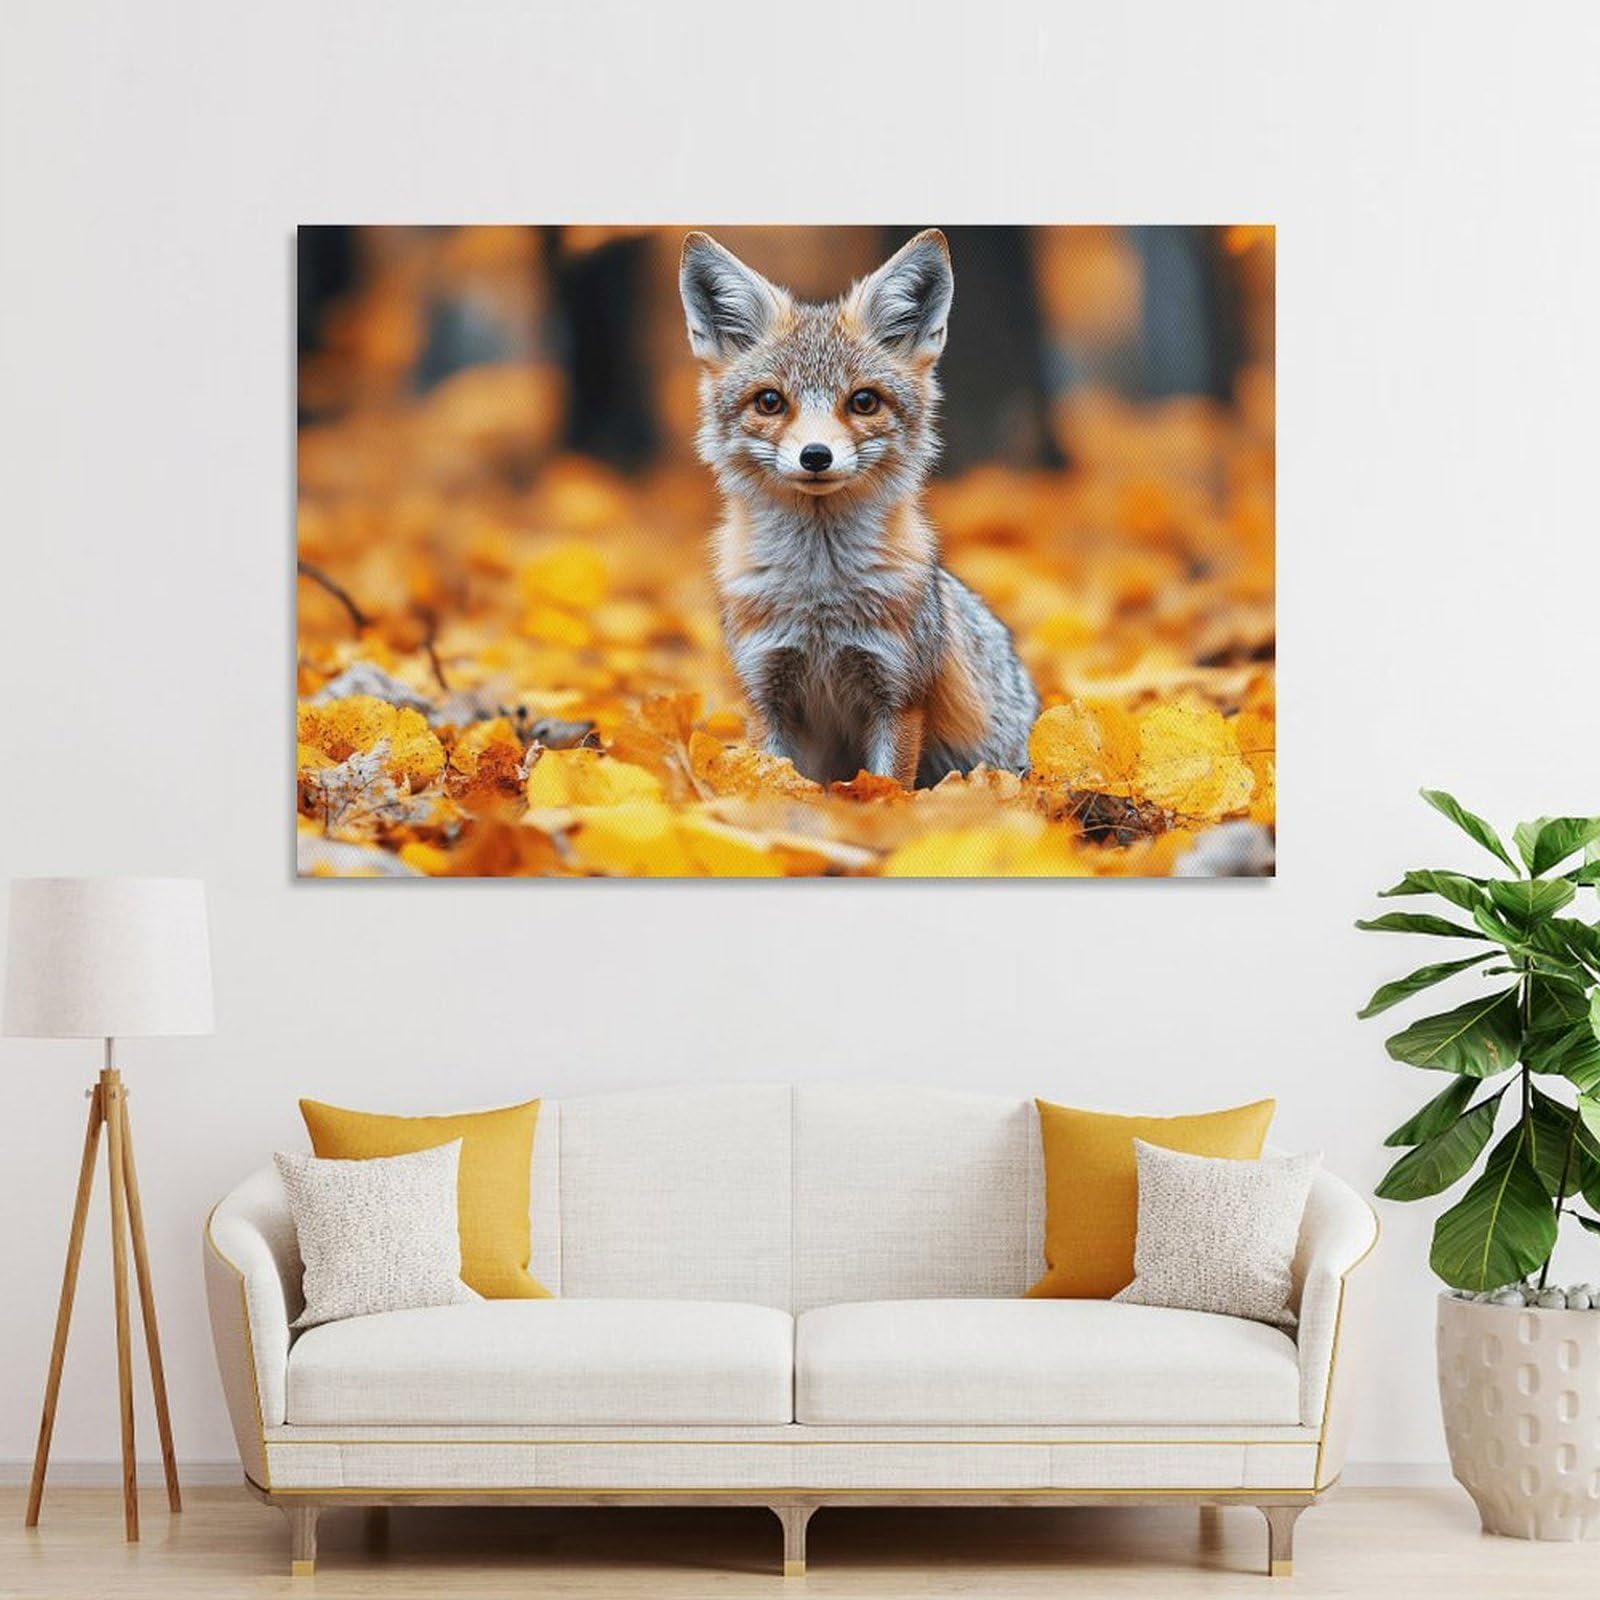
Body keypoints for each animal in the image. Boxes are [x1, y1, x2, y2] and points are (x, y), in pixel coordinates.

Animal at [679, 227, 1040, 789]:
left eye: (864, 401)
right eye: (770, 402)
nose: (816, 456)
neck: (819, 599)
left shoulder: (898, 695)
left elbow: (889, 785)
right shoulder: (766, 692)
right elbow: (773, 776)